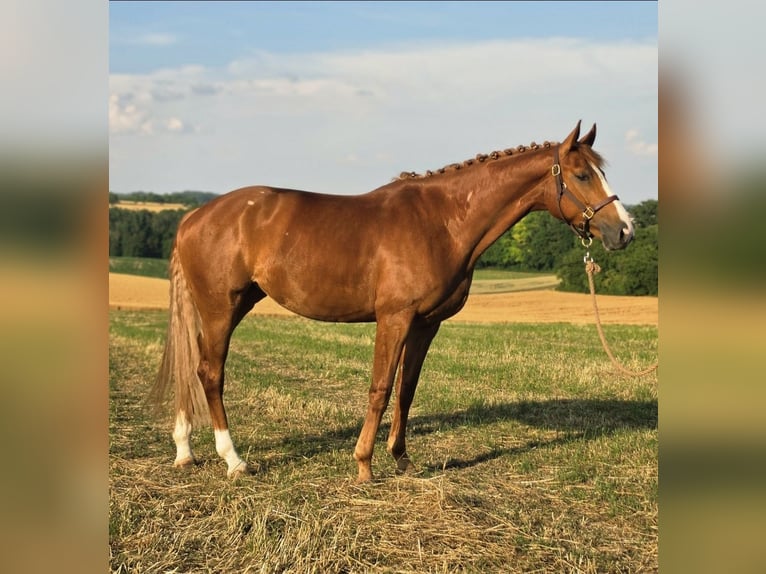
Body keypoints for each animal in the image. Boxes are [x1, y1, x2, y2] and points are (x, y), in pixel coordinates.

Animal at [150, 121, 635, 482]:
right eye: (583, 175)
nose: (625, 230)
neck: (442, 221)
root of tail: (192, 218)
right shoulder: (395, 318)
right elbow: (380, 388)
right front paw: (364, 465)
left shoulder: (426, 323)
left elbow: (406, 390)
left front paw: (402, 459)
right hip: (221, 308)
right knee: (210, 373)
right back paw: (234, 460)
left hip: (227, 306)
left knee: (192, 368)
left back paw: (185, 450)